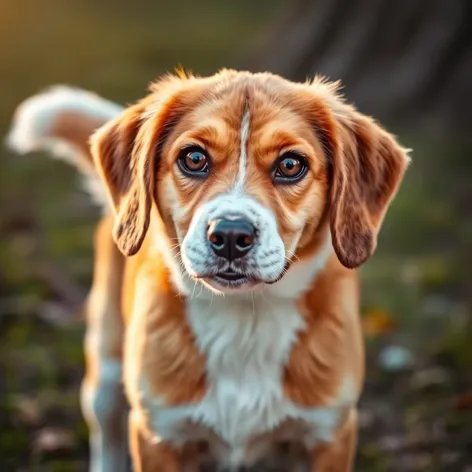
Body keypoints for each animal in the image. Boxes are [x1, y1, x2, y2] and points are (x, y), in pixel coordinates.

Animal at [9, 70, 412, 472]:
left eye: (290, 165)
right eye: (194, 157)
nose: (231, 234)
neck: (244, 319)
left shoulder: (329, 433)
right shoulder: (158, 434)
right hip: (106, 366)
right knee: (106, 429)